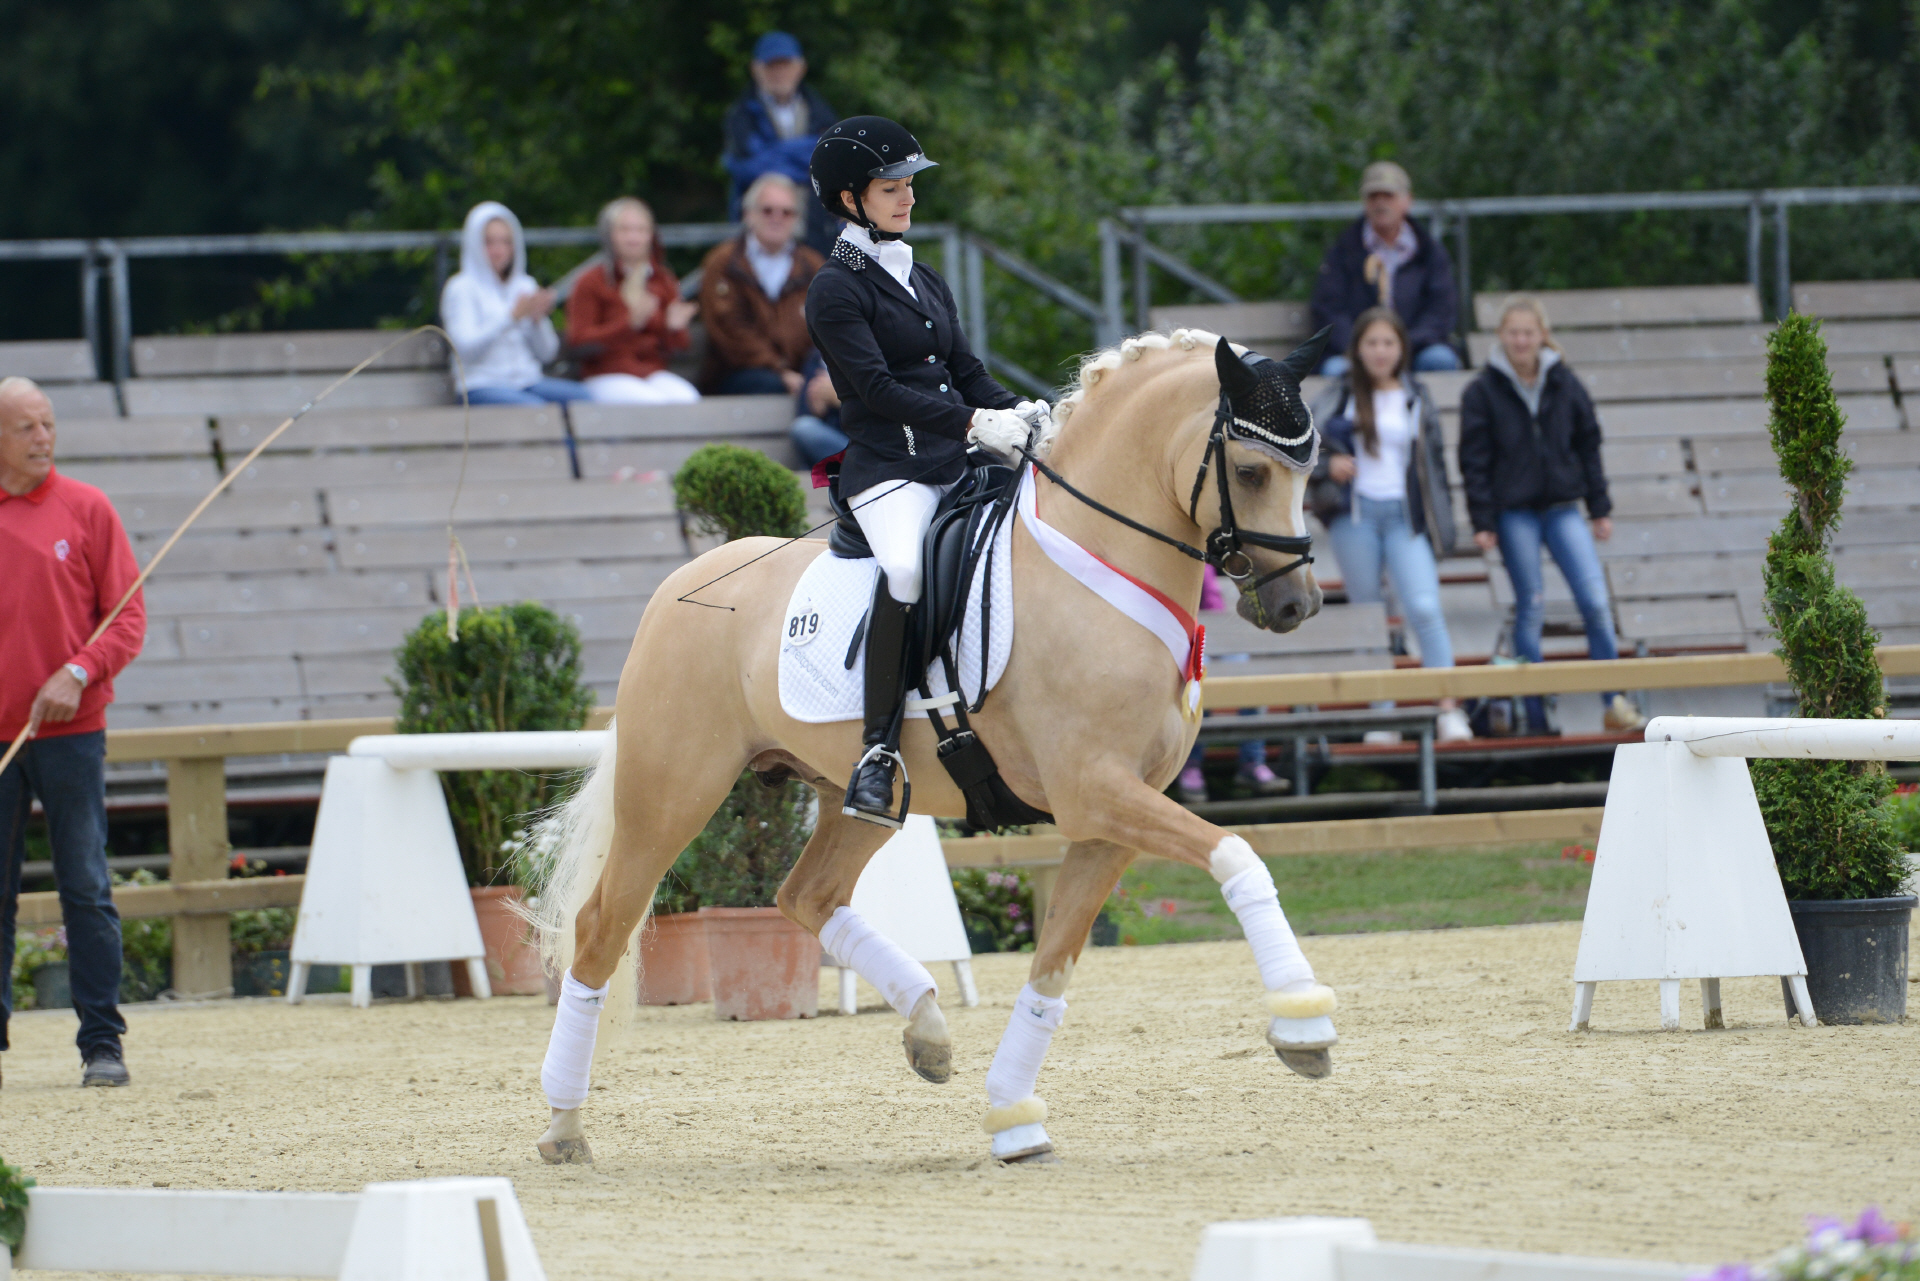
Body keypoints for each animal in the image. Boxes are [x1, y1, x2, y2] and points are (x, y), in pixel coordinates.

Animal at [526, 326, 1336, 1167]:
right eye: (1249, 469)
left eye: (1308, 468)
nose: (1296, 604)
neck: (1096, 566)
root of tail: (674, 588)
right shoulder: (1095, 790)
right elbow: (1239, 854)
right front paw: (1302, 1019)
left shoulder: (1110, 817)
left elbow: (1054, 964)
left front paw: (1014, 1115)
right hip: (672, 791)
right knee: (601, 927)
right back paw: (564, 1125)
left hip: (854, 795)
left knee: (806, 895)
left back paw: (927, 1027)